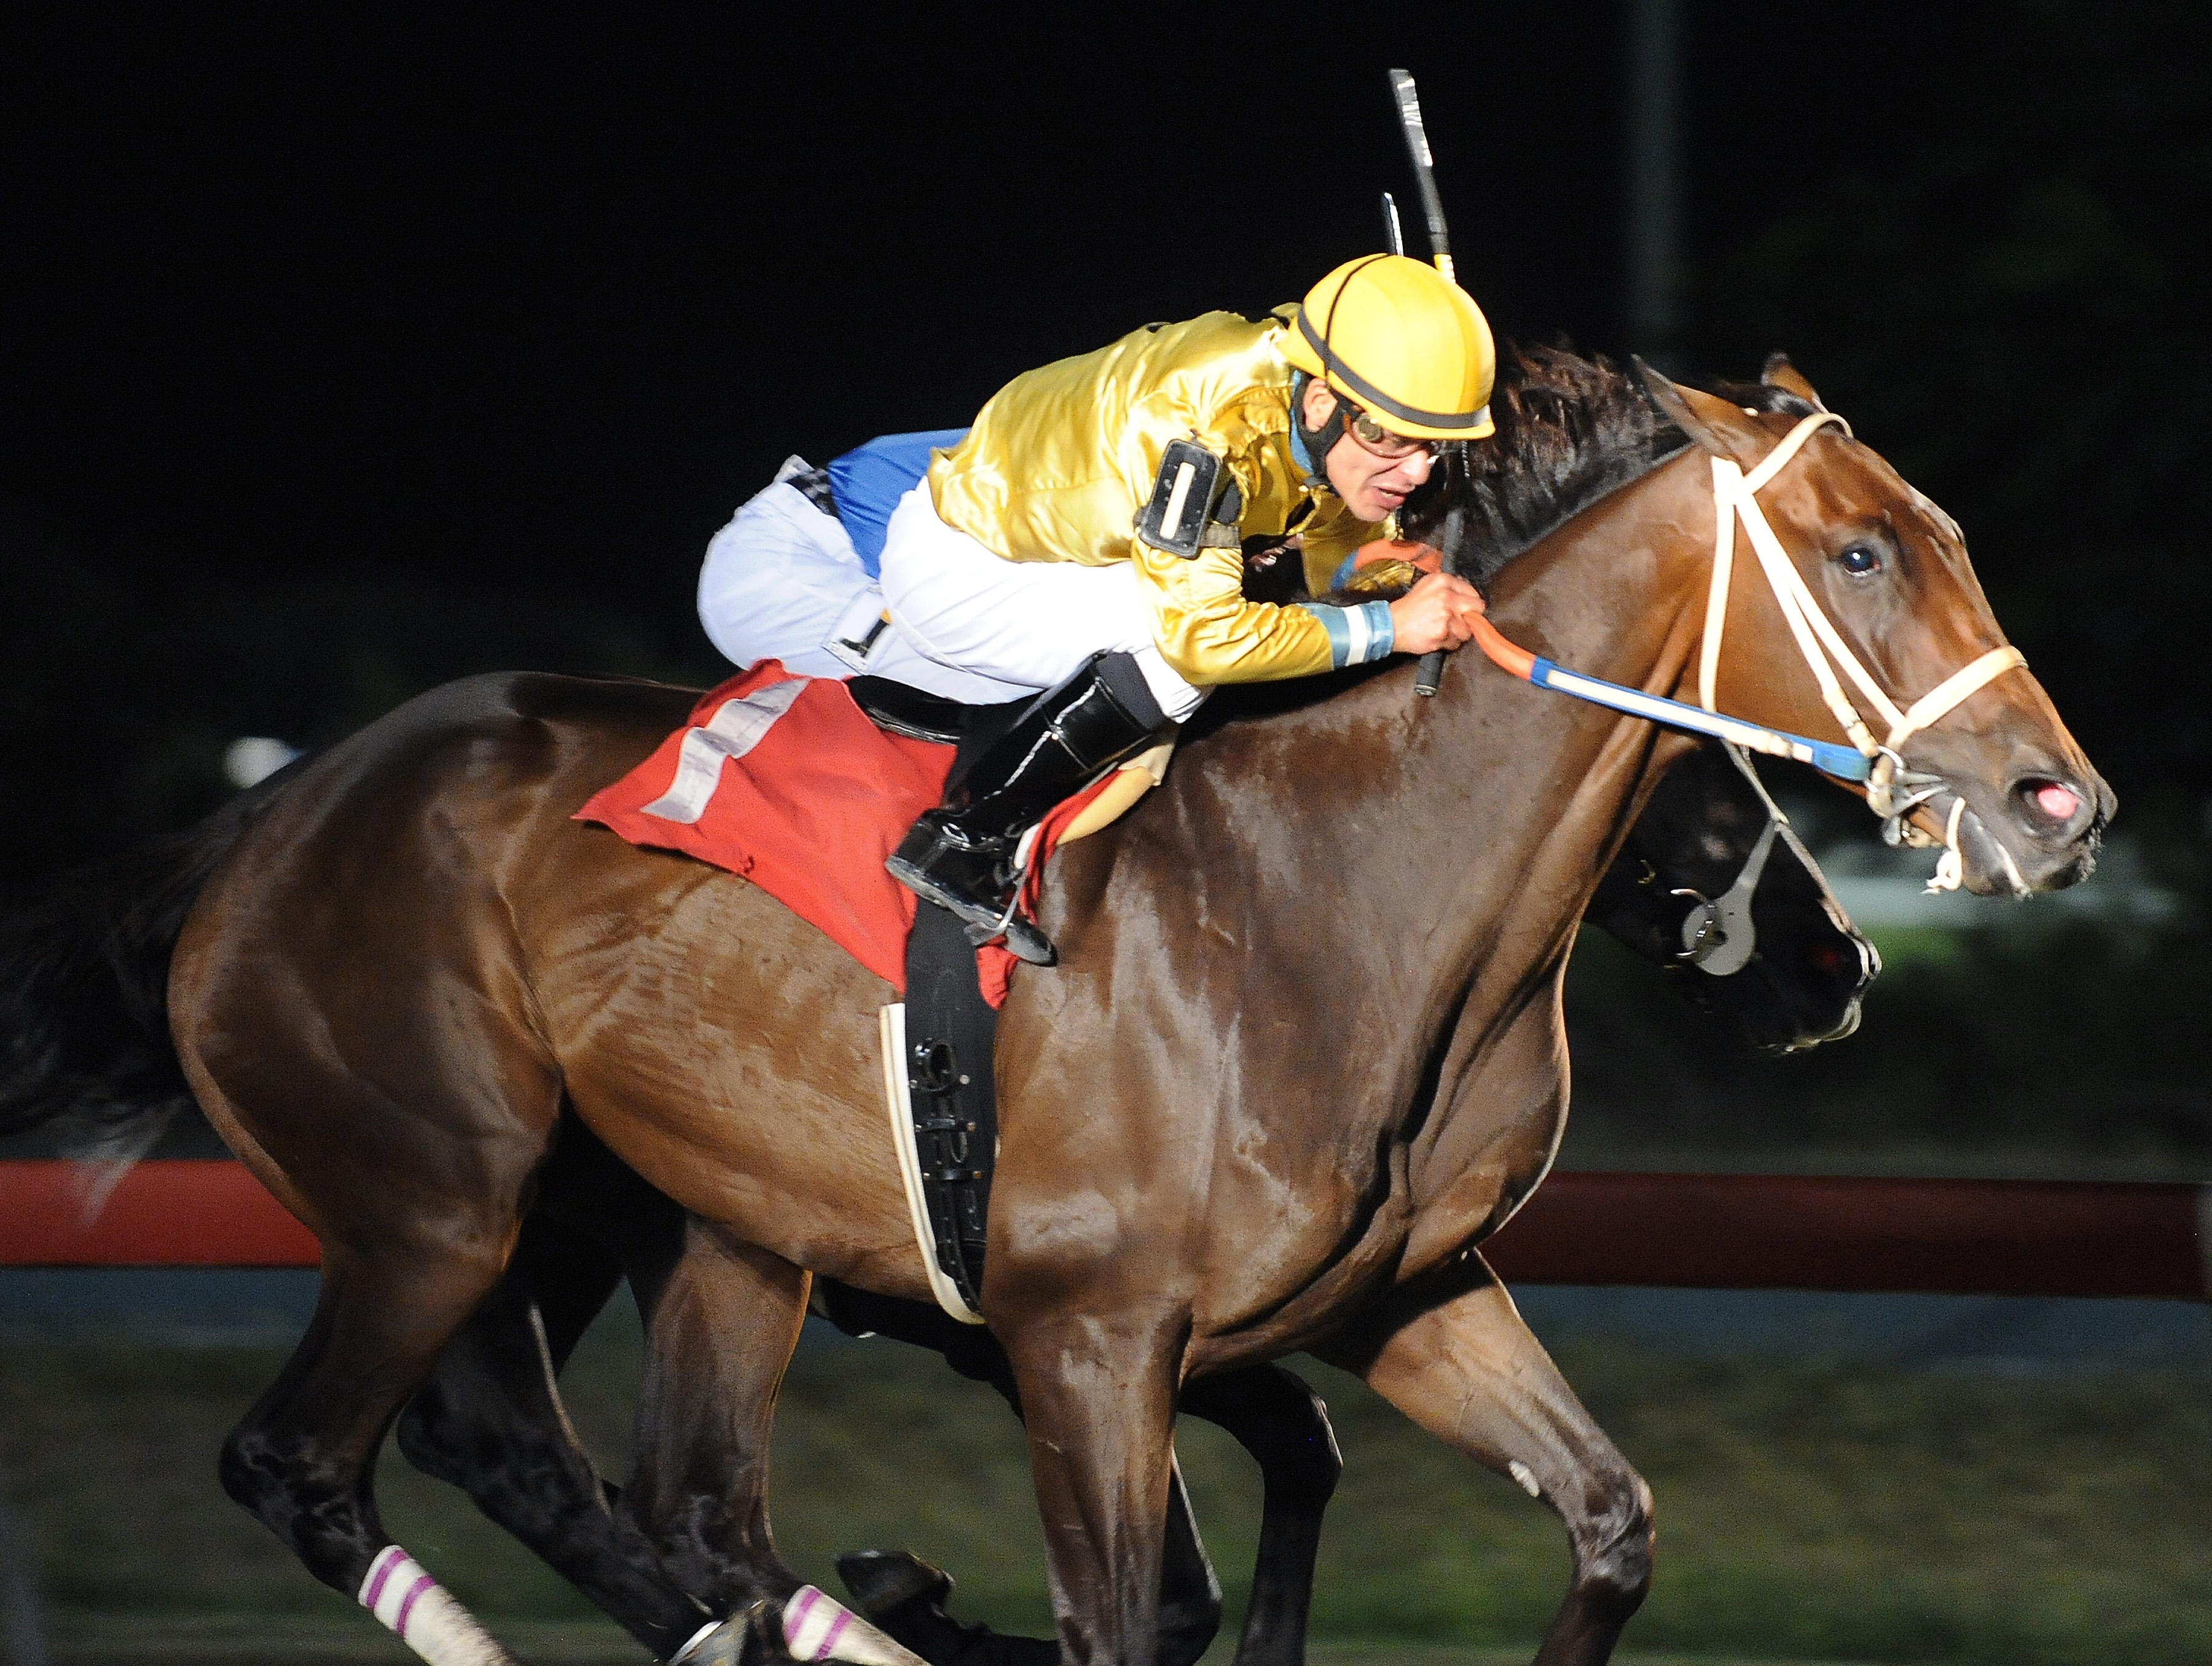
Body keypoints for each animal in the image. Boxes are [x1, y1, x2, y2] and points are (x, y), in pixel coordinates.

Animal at [0, 349, 2103, 1666]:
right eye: (1859, 551)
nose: (2055, 803)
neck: (1341, 886)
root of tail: (267, 814)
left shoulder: (1404, 1297)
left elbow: (1602, 1518)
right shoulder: (1077, 1336)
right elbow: (1130, 1609)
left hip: (704, 1235)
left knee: (666, 1507)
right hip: (439, 1198)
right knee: (317, 1463)